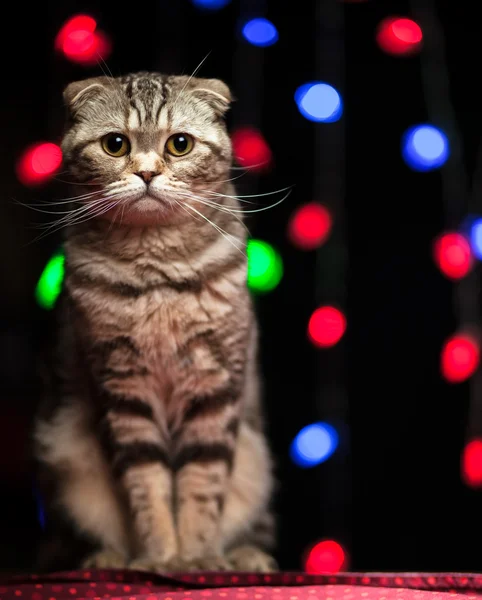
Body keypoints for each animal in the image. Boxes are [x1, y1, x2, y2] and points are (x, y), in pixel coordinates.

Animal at [32, 70, 276, 572]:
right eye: (116, 144)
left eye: (179, 144)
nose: (146, 172)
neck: (156, 274)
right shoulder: (122, 388)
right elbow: (147, 487)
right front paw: (160, 557)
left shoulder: (215, 383)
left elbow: (203, 484)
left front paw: (199, 558)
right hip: (64, 457)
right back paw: (107, 558)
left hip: (256, 458)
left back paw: (246, 556)